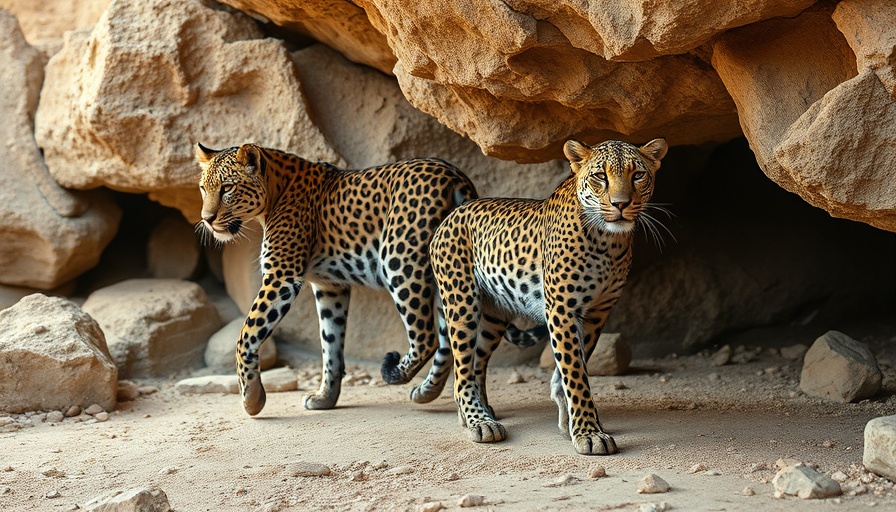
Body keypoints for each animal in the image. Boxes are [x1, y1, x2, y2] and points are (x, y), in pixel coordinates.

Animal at [192, 143, 480, 416]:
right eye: (203, 189)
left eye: (228, 188)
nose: (207, 219)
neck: (275, 190)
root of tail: (454, 175)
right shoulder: (330, 287)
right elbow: (330, 344)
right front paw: (325, 398)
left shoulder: (281, 276)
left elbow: (246, 335)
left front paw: (251, 400)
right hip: (445, 271)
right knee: (449, 338)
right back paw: (427, 392)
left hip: (399, 261)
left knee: (426, 336)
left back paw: (396, 373)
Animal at [430, 138, 668, 454]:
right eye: (600, 176)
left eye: (638, 175)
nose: (621, 204)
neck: (609, 241)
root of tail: (453, 213)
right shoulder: (562, 308)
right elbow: (574, 371)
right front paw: (588, 432)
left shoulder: (597, 312)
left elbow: (569, 368)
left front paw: (573, 422)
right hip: (461, 302)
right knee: (461, 369)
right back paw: (479, 421)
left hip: (495, 315)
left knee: (477, 360)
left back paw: (480, 412)